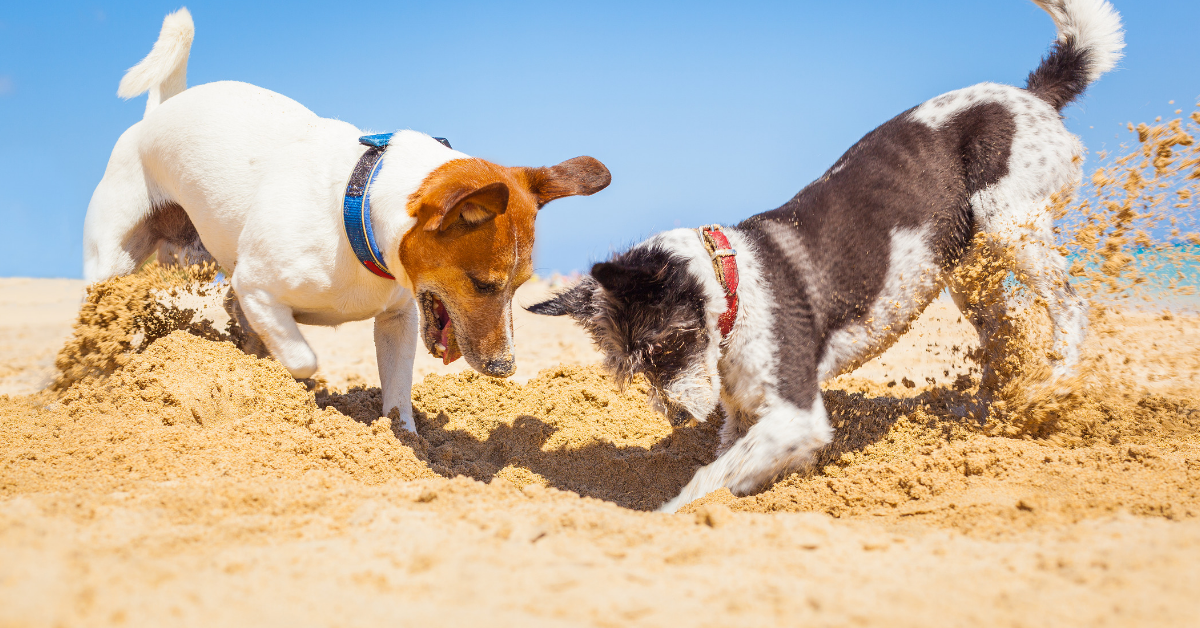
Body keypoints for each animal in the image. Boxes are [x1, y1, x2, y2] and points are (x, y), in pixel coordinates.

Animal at [84, 7, 609, 429]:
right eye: (483, 284)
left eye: (520, 287)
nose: (506, 369)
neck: (358, 212)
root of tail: (161, 111)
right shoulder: (256, 286)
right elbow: (301, 358)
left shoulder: (398, 318)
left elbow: (397, 394)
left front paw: (404, 438)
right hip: (112, 263)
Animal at [530, 0, 1118, 511]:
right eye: (629, 368)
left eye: (661, 348)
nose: (674, 417)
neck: (733, 285)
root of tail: (1032, 96)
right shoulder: (745, 415)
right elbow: (732, 460)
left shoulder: (796, 413)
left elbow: (708, 479)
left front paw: (667, 514)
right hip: (970, 267)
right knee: (1004, 329)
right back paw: (988, 411)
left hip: (1011, 225)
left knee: (1070, 306)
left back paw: (1051, 388)